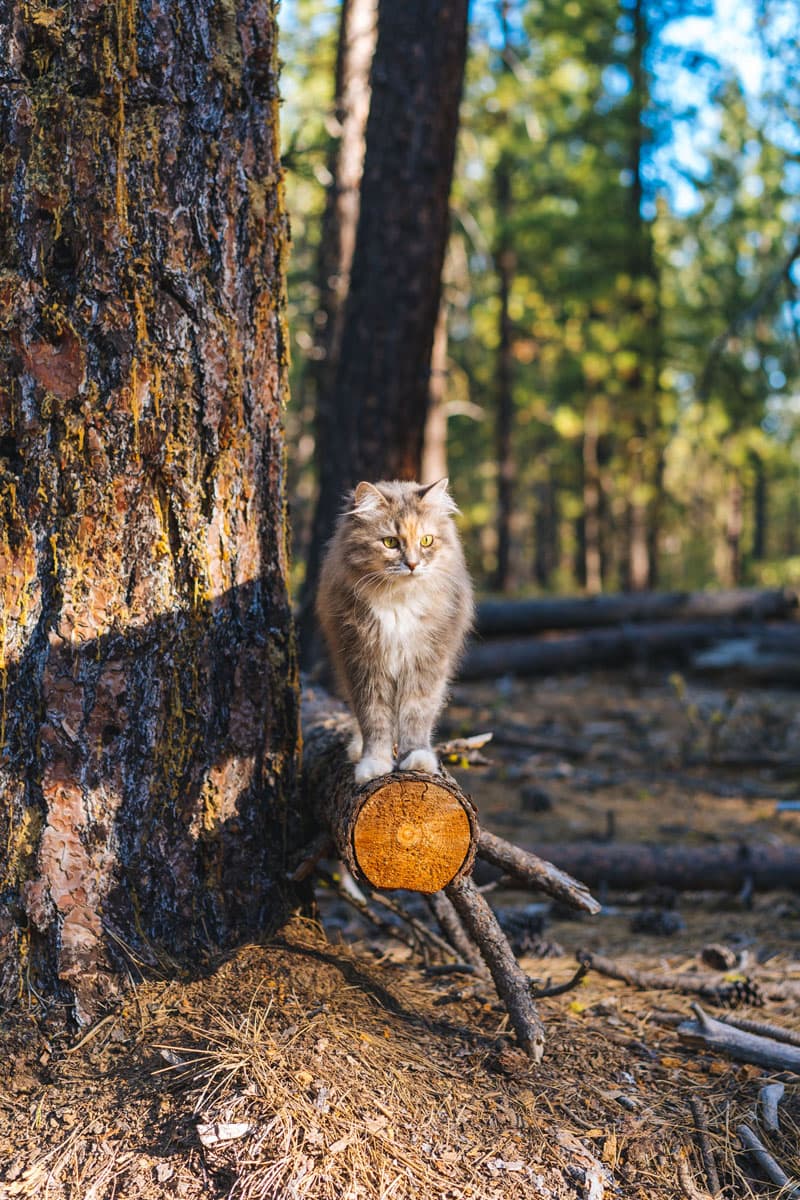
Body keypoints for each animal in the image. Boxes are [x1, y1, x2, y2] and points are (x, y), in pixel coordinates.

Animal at [314, 477, 474, 787]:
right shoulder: (364, 664)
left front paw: (417, 759)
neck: (399, 601)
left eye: (426, 541)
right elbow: (373, 721)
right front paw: (374, 764)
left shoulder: (426, 663)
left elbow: (416, 715)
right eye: (390, 542)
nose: (412, 564)